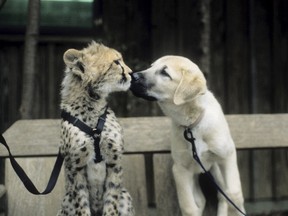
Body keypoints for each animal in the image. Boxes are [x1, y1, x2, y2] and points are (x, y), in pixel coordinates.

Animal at [130, 56, 245, 216]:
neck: (192, 124)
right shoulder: (181, 170)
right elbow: (189, 207)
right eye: (151, 66)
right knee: (201, 200)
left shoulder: (227, 157)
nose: (132, 76)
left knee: (224, 196)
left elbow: (234, 194)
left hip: (216, 171)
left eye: (165, 73)